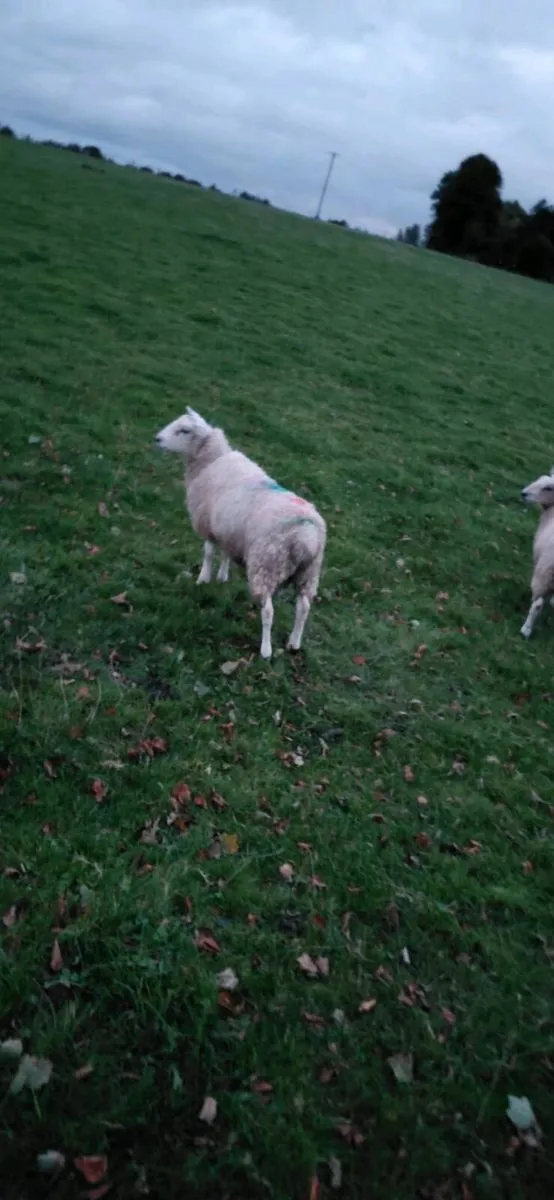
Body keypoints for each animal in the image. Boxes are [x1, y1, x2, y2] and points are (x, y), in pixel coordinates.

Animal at [155, 407, 327, 659]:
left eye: (184, 430)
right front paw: (222, 576)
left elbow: (208, 552)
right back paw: (294, 643)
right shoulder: (228, 530)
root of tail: (306, 537)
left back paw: (266, 650)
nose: (157, 439)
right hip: (309, 573)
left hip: (266, 564)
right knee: (303, 607)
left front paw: (203, 578)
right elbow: (225, 554)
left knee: (268, 611)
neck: (209, 462)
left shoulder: (208, 524)